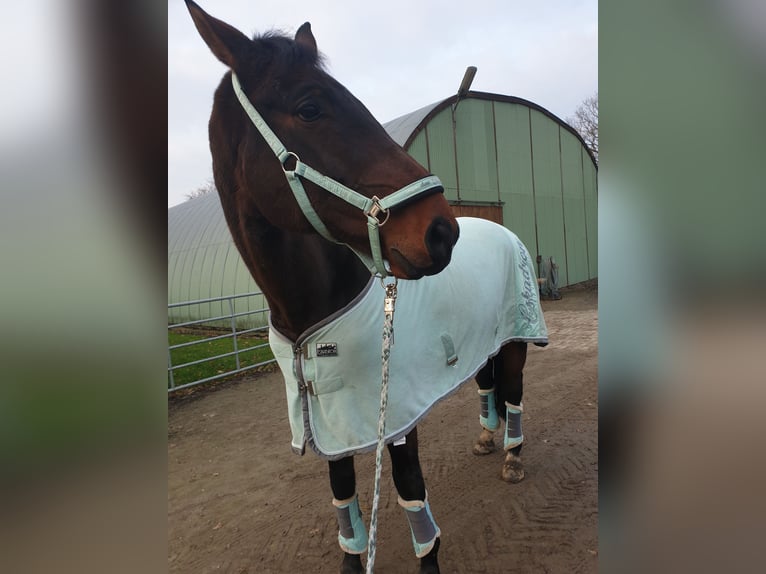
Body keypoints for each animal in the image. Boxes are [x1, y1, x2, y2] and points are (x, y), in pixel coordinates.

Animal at [183, 2, 548, 572]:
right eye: (310, 107)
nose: (440, 231)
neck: (312, 318)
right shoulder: (328, 423)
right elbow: (344, 497)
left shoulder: (393, 417)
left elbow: (411, 493)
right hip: (484, 341)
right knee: (486, 384)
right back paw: (487, 439)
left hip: (515, 340)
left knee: (512, 389)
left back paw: (511, 455)